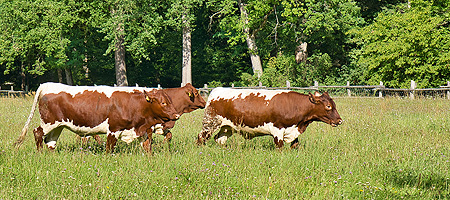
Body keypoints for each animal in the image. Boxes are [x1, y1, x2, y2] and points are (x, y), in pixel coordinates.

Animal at [14, 82, 179, 154]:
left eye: (170, 100)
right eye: (163, 102)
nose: (176, 115)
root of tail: (47, 84)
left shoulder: (141, 130)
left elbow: (147, 147)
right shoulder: (113, 130)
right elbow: (109, 149)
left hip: (58, 126)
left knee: (50, 141)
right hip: (49, 122)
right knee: (37, 132)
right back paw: (40, 153)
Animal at [196, 87, 342, 148]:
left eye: (334, 105)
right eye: (328, 106)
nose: (340, 120)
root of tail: (217, 90)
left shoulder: (293, 130)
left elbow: (295, 145)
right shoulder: (277, 130)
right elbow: (280, 146)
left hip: (227, 127)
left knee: (219, 139)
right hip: (210, 123)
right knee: (201, 137)